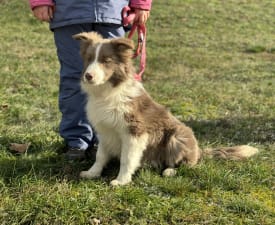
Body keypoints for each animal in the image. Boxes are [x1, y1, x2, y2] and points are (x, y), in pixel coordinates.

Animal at [73, 32, 258, 186]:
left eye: (106, 60)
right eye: (89, 59)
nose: (88, 76)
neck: (107, 93)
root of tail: (199, 151)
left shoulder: (135, 132)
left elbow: (127, 158)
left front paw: (121, 181)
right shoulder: (105, 130)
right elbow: (100, 156)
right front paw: (92, 173)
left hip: (177, 137)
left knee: (189, 165)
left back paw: (170, 171)